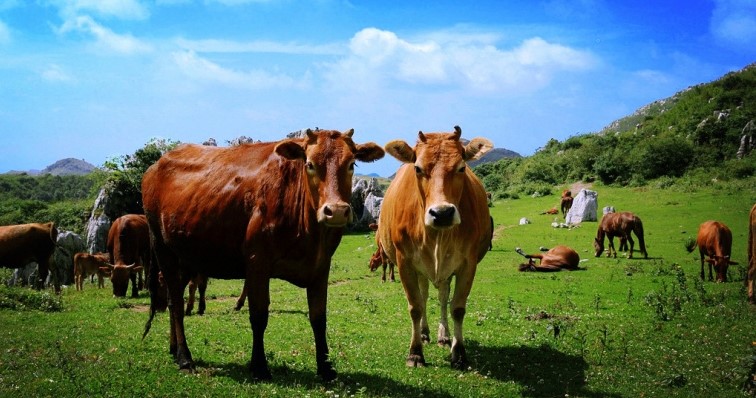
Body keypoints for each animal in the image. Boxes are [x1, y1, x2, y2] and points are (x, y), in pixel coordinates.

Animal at [140, 128, 384, 380]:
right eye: (309, 164)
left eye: (352, 164)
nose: (335, 211)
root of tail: (155, 166)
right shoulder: (258, 262)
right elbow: (258, 315)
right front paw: (259, 365)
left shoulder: (321, 266)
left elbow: (319, 318)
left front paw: (325, 367)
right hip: (163, 250)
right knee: (175, 303)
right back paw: (184, 357)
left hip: (187, 254)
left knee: (174, 299)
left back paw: (173, 348)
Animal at [376, 125, 494, 370]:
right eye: (418, 168)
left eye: (461, 167)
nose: (442, 213)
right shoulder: (404, 263)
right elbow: (415, 307)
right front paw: (415, 353)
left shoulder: (468, 264)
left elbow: (457, 308)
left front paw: (459, 352)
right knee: (423, 296)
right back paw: (424, 332)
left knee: (441, 297)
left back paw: (443, 335)